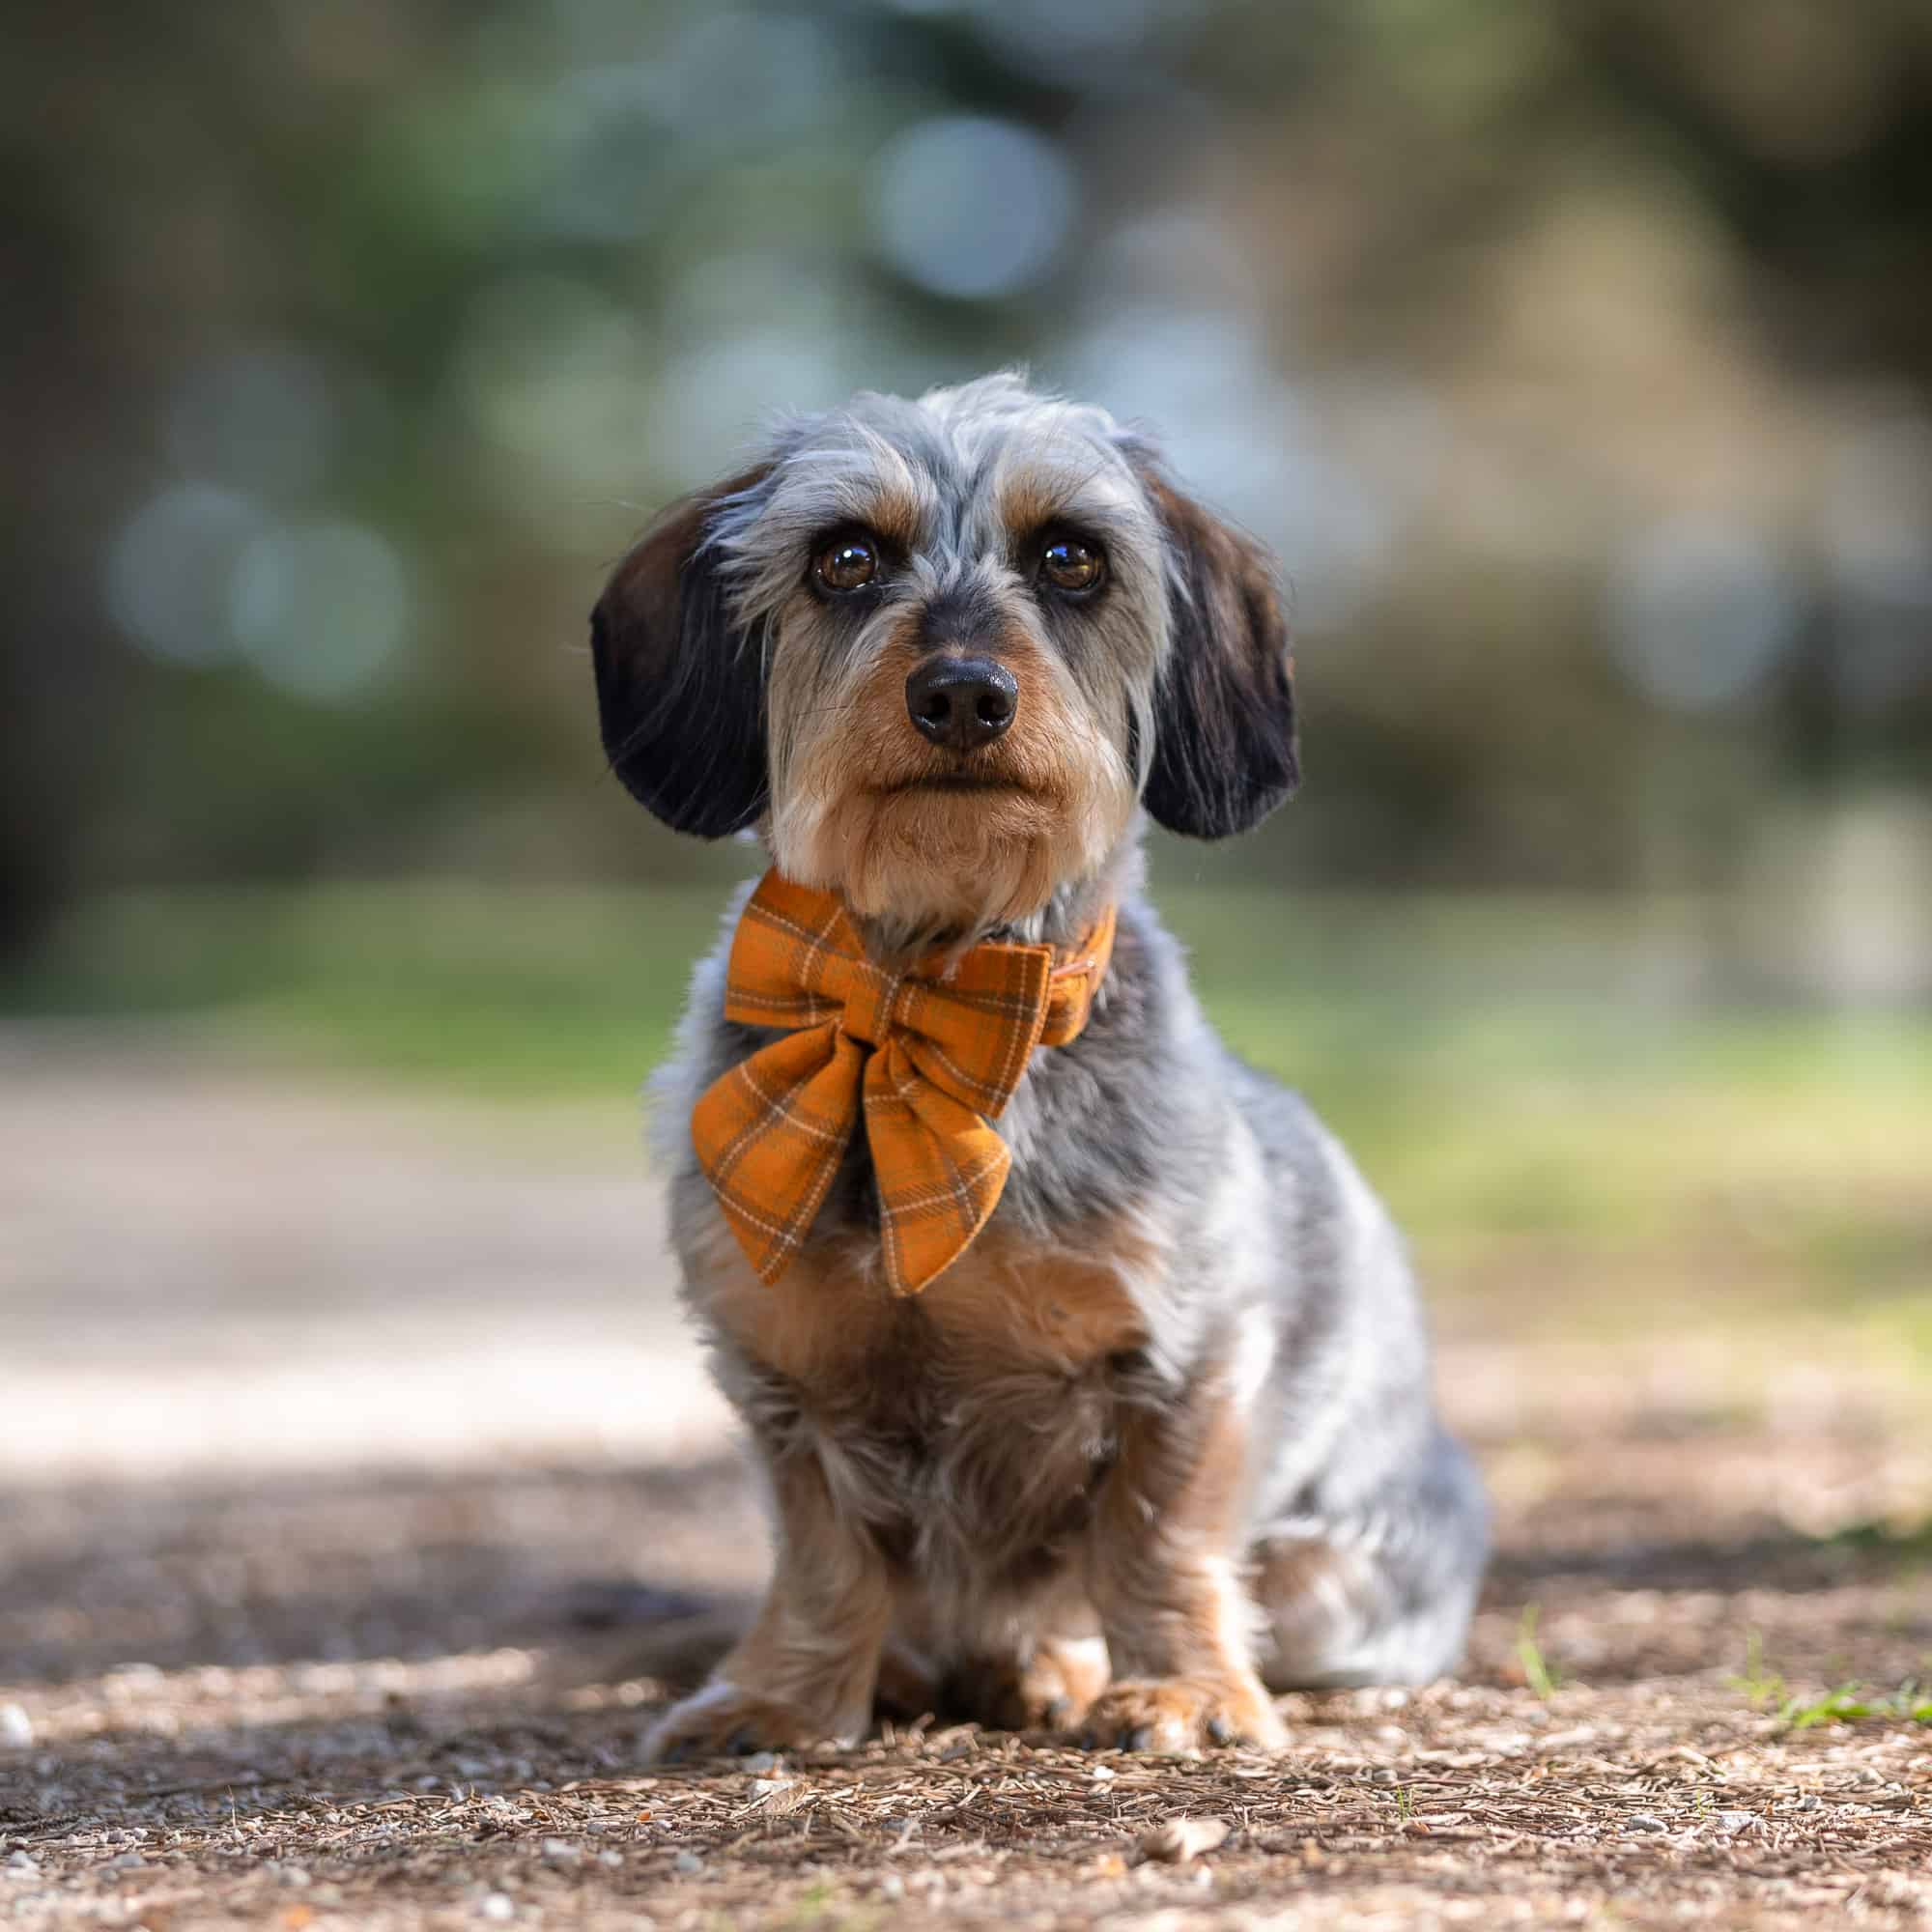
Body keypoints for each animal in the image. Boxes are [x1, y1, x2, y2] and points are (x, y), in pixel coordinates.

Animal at [595, 369, 1484, 1762]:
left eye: (1071, 556)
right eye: (844, 557)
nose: (962, 694)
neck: (929, 999)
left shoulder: (1189, 1361)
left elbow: (1154, 1540)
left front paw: (1177, 1685)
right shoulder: (780, 1379)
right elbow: (824, 1560)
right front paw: (783, 1696)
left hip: (1340, 1576)